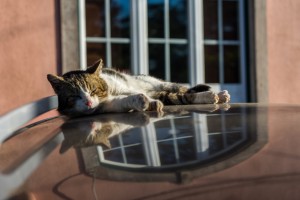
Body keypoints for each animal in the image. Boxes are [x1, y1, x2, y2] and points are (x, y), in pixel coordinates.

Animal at [47, 58, 231, 116]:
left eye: (93, 90)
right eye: (74, 96)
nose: (88, 102)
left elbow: (183, 96)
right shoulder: (108, 105)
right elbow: (125, 100)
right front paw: (144, 102)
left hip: (158, 83)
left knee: (182, 90)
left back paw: (218, 94)